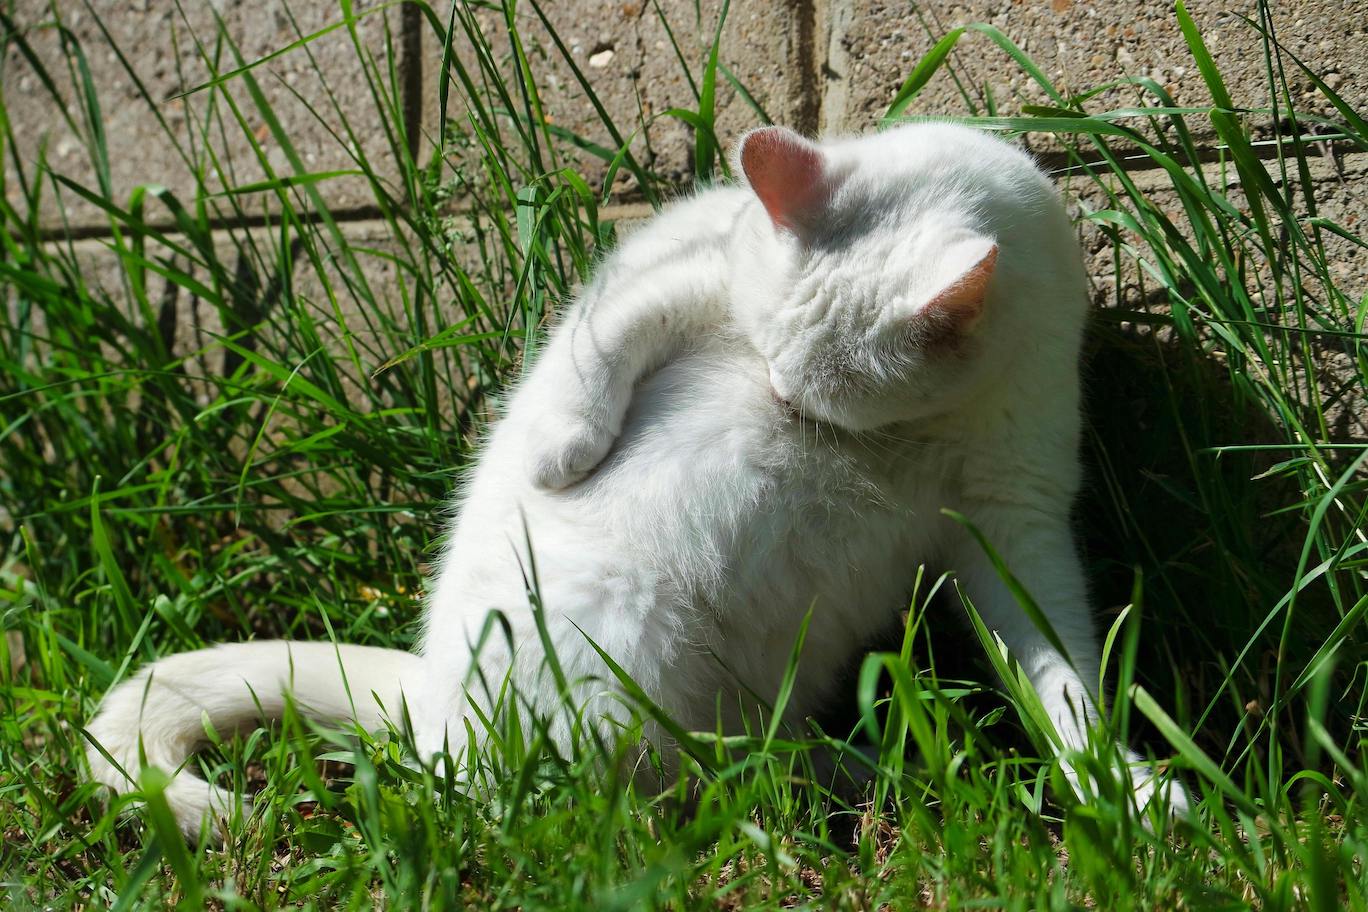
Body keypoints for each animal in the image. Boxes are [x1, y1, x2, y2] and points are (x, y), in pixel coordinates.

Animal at [85, 123, 1187, 842]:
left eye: (815, 391)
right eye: (769, 363)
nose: (779, 404)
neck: (911, 438)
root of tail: (428, 692)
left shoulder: (1014, 518)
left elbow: (1061, 678)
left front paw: (1122, 791)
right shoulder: (691, 271)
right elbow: (609, 338)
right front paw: (562, 453)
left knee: (739, 760)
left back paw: (873, 776)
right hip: (619, 666)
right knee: (612, 795)